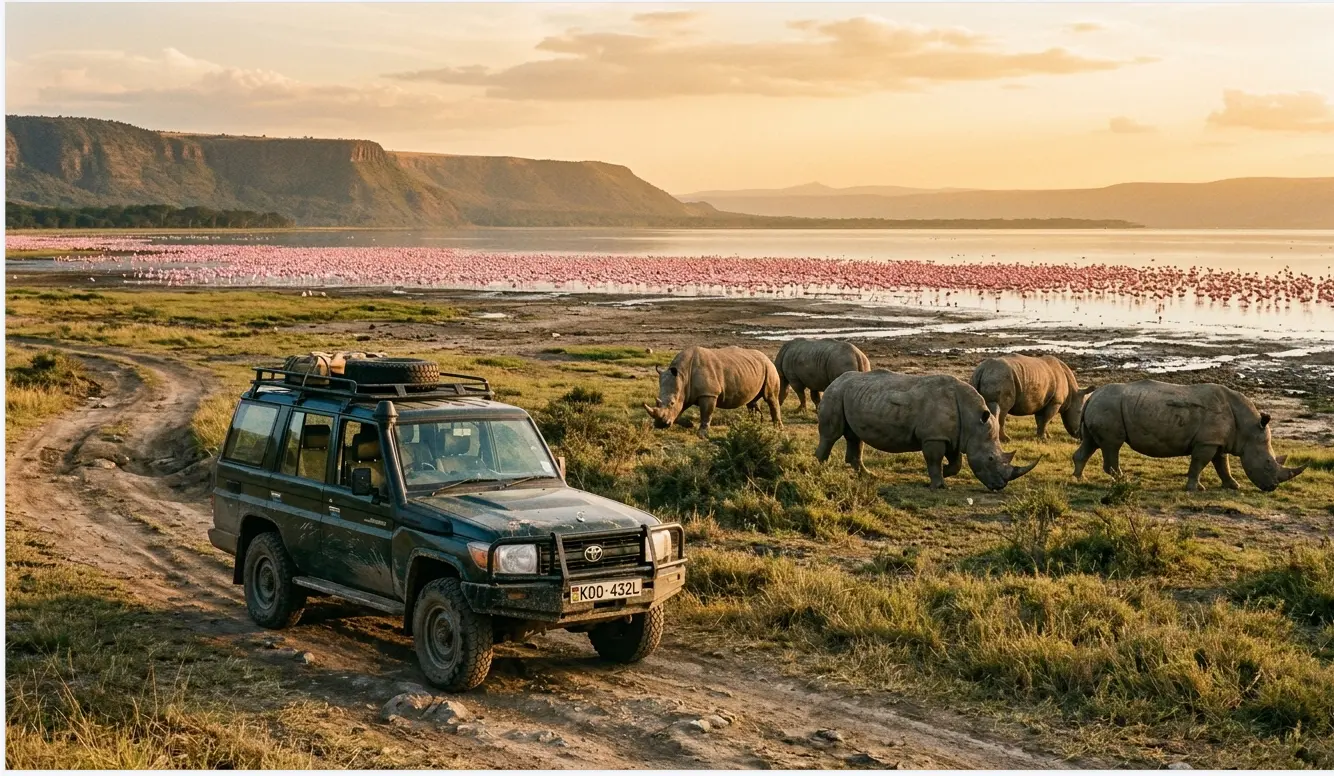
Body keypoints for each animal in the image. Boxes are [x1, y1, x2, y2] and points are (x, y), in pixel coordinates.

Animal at [644, 346, 782, 438]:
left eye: (672, 403)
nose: (660, 424)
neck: (682, 375)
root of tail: (766, 357)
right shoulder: (686, 393)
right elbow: (678, 413)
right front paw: (689, 424)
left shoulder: (709, 393)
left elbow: (706, 413)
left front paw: (702, 434)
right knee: (751, 401)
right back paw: (751, 425)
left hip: (769, 367)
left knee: (771, 397)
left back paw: (778, 429)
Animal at [815, 370, 1040, 490]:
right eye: (991, 459)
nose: (1000, 486)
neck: (974, 420)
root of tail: (836, 380)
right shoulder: (934, 437)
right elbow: (934, 459)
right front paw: (939, 485)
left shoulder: (953, 436)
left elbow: (956, 462)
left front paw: (945, 474)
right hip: (836, 393)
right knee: (830, 435)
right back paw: (819, 469)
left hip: (853, 395)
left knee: (855, 437)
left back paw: (869, 476)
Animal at [1074, 379, 1306, 492]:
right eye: (1267, 464)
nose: (1272, 488)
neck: (1248, 428)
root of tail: (1091, 396)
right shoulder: (1207, 442)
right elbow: (1199, 464)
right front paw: (1195, 489)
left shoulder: (1217, 441)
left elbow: (1223, 465)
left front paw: (1233, 486)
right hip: (1108, 406)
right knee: (1112, 445)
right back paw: (1124, 480)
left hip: (1102, 405)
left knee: (1091, 443)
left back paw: (1080, 479)